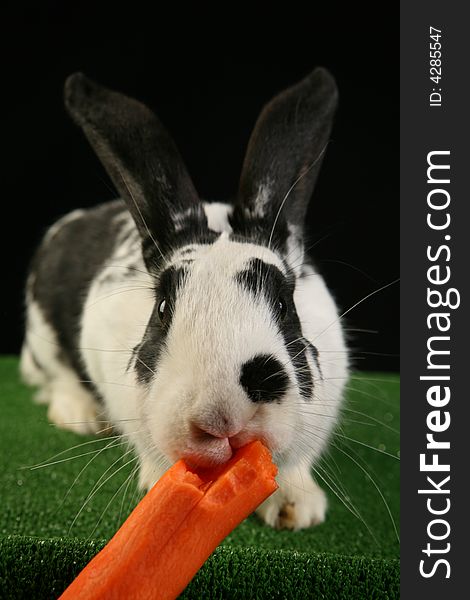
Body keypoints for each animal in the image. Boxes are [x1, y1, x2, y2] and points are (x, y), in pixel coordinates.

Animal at [21, 69, 348, 528]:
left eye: (285, 306)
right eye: (162, 309)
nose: (222, 415)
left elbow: (295, 465)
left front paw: (297, 510)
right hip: (43, 337)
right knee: (58, 377)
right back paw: (80, 416)